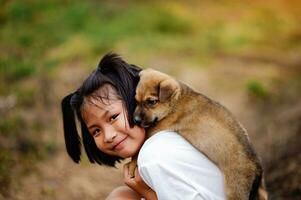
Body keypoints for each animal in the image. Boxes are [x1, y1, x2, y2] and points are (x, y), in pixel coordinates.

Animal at [131, 69, 268, 200]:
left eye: (151, 102)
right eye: (136, 101)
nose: (135, 120)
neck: (176, 100)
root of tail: (257, 167)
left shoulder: (157, 127)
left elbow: (138, 147)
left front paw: (131, 164)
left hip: (235, 190)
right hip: (261, 192)